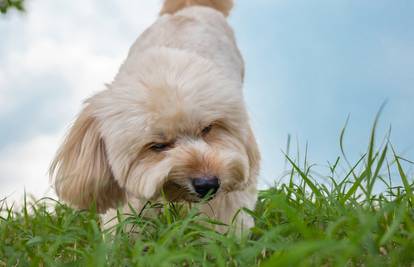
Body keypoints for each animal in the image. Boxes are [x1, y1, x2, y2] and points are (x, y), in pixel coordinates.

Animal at [50, 0, 260, 233]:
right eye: (157, 146)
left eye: (207, 129)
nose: (208, 184)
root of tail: (187, 8)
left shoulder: (233, 163)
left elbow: (226, 218)